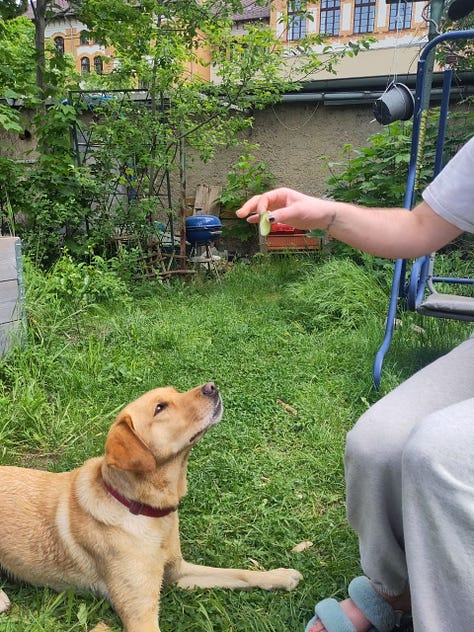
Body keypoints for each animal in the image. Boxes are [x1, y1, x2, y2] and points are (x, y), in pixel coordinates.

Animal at [0, 382, 302, 632]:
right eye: (160, 407)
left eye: (175, 392)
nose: (211, 386)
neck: (141, 509)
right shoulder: (140, 616)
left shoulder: (177, 573)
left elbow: (237, 573)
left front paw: (277, 576)